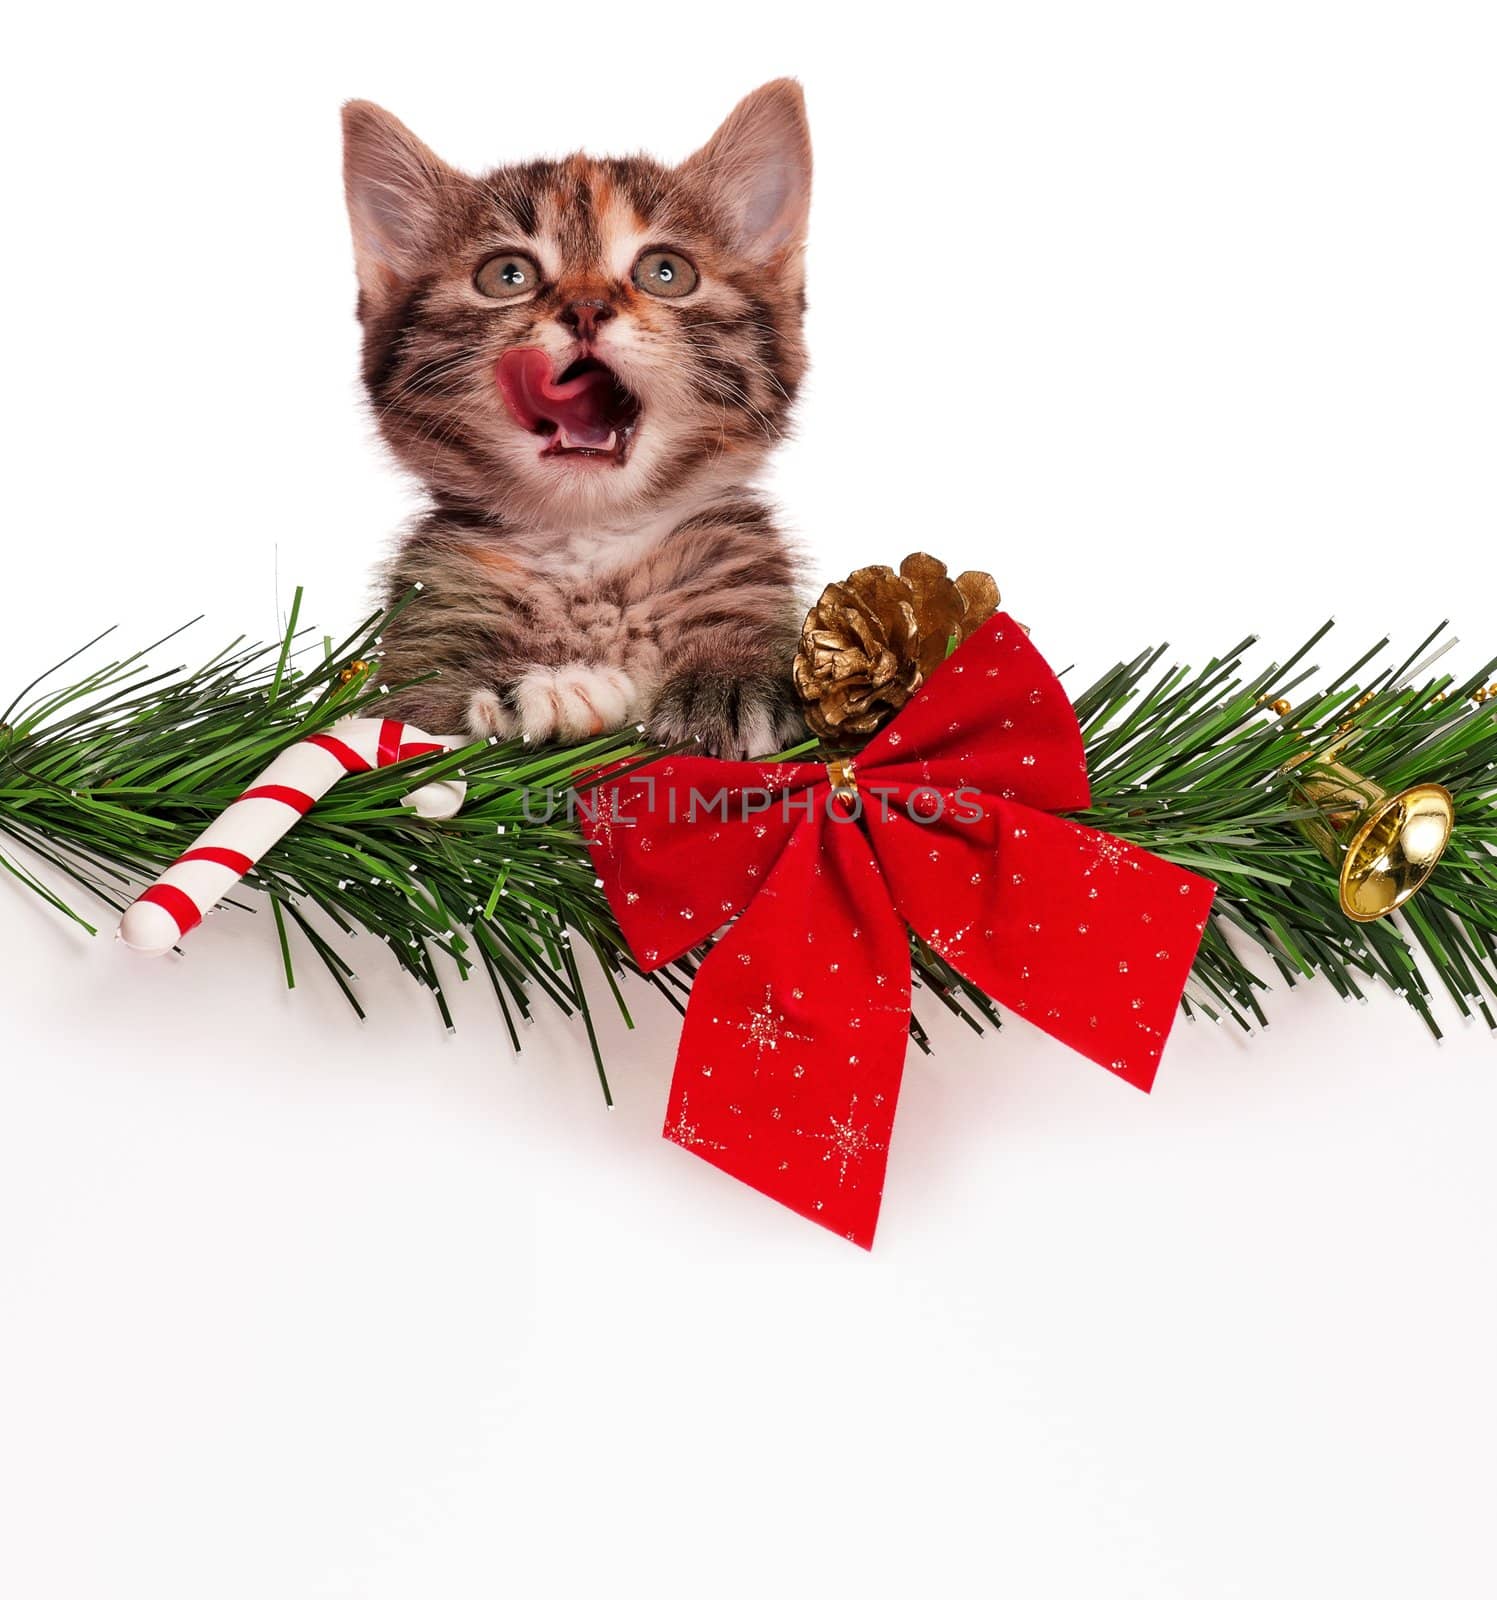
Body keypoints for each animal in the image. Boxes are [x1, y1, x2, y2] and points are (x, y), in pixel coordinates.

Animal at [343, 84, 812, 758]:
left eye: (666, 272)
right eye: (506, 275)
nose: (587, 308)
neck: (587, 544)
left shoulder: (738, 566)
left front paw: (729, 674)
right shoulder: (428, 618)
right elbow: (416, 713)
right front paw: (546, 688)